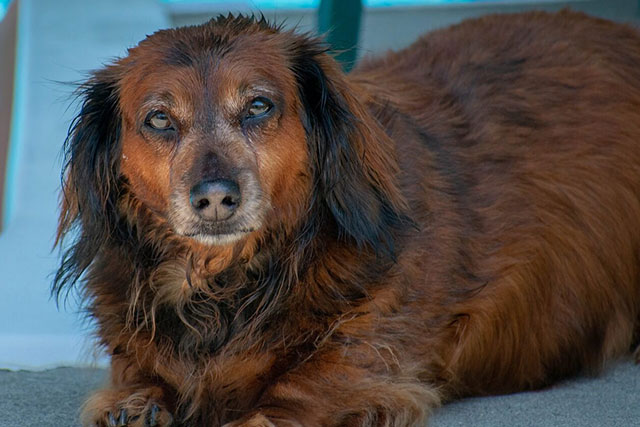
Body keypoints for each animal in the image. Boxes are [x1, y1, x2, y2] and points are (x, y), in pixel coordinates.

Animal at [55, 9, 640, 427]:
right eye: (158, 118)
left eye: (259, 106)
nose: (216, 198)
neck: (229, 290)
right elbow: (136, 385)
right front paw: (137, 405)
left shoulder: (364, 367)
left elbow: (292, 398)